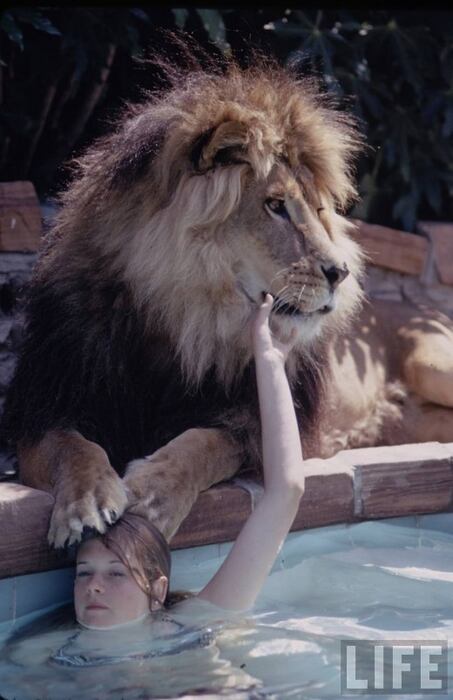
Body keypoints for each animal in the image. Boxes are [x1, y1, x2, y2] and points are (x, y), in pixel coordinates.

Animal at [2, 45, 453, 548]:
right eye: (275, 206)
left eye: (318, 211)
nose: (341, 272)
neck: (182, 319)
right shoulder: (45, 405)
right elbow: (70, 446)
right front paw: (87, 503)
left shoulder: (257, 426)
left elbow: (205, 443)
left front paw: (153, 492)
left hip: (433, 363)